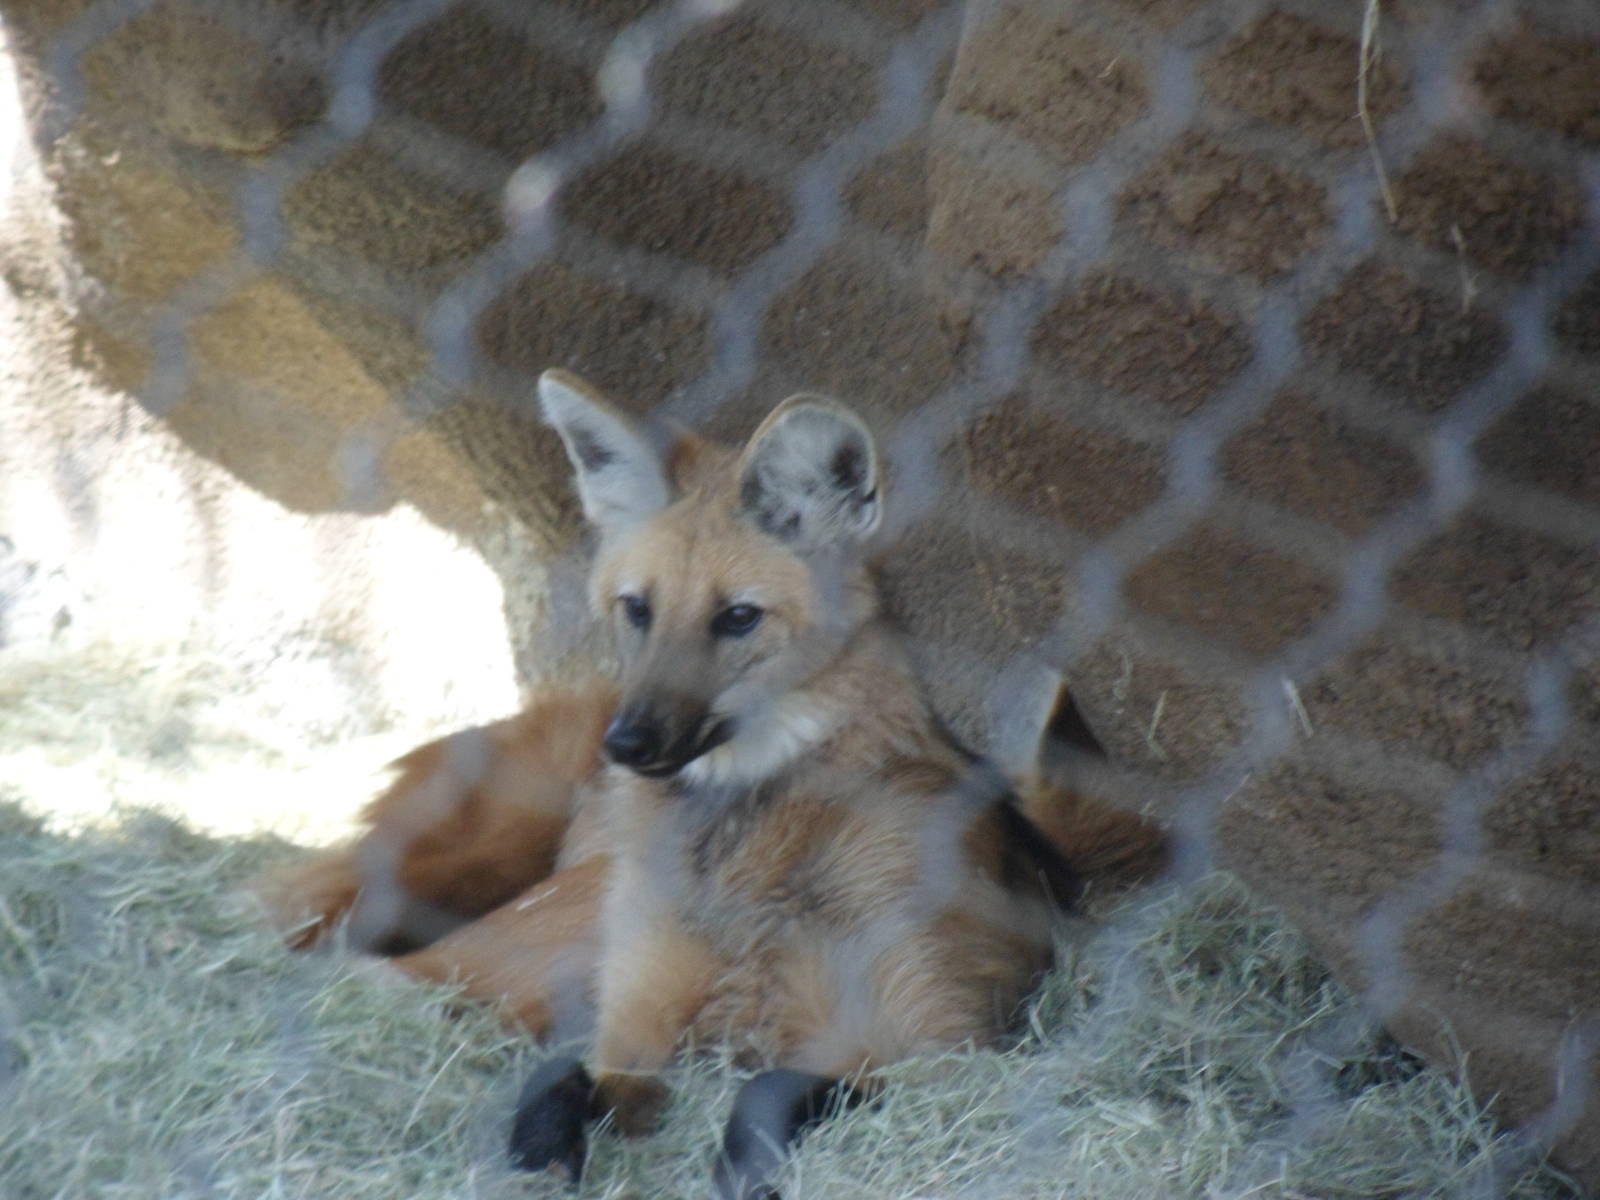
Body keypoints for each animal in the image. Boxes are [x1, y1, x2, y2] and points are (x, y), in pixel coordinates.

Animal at [260, 370, 1165, 1198]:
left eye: (737, 618)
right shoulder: (636, 1033)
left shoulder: (932, 1049)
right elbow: (561, 1077)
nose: (629, 741)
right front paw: (540, 1157)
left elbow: (769, 1089)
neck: (746, 856)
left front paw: (742, 1171)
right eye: (638, 609)